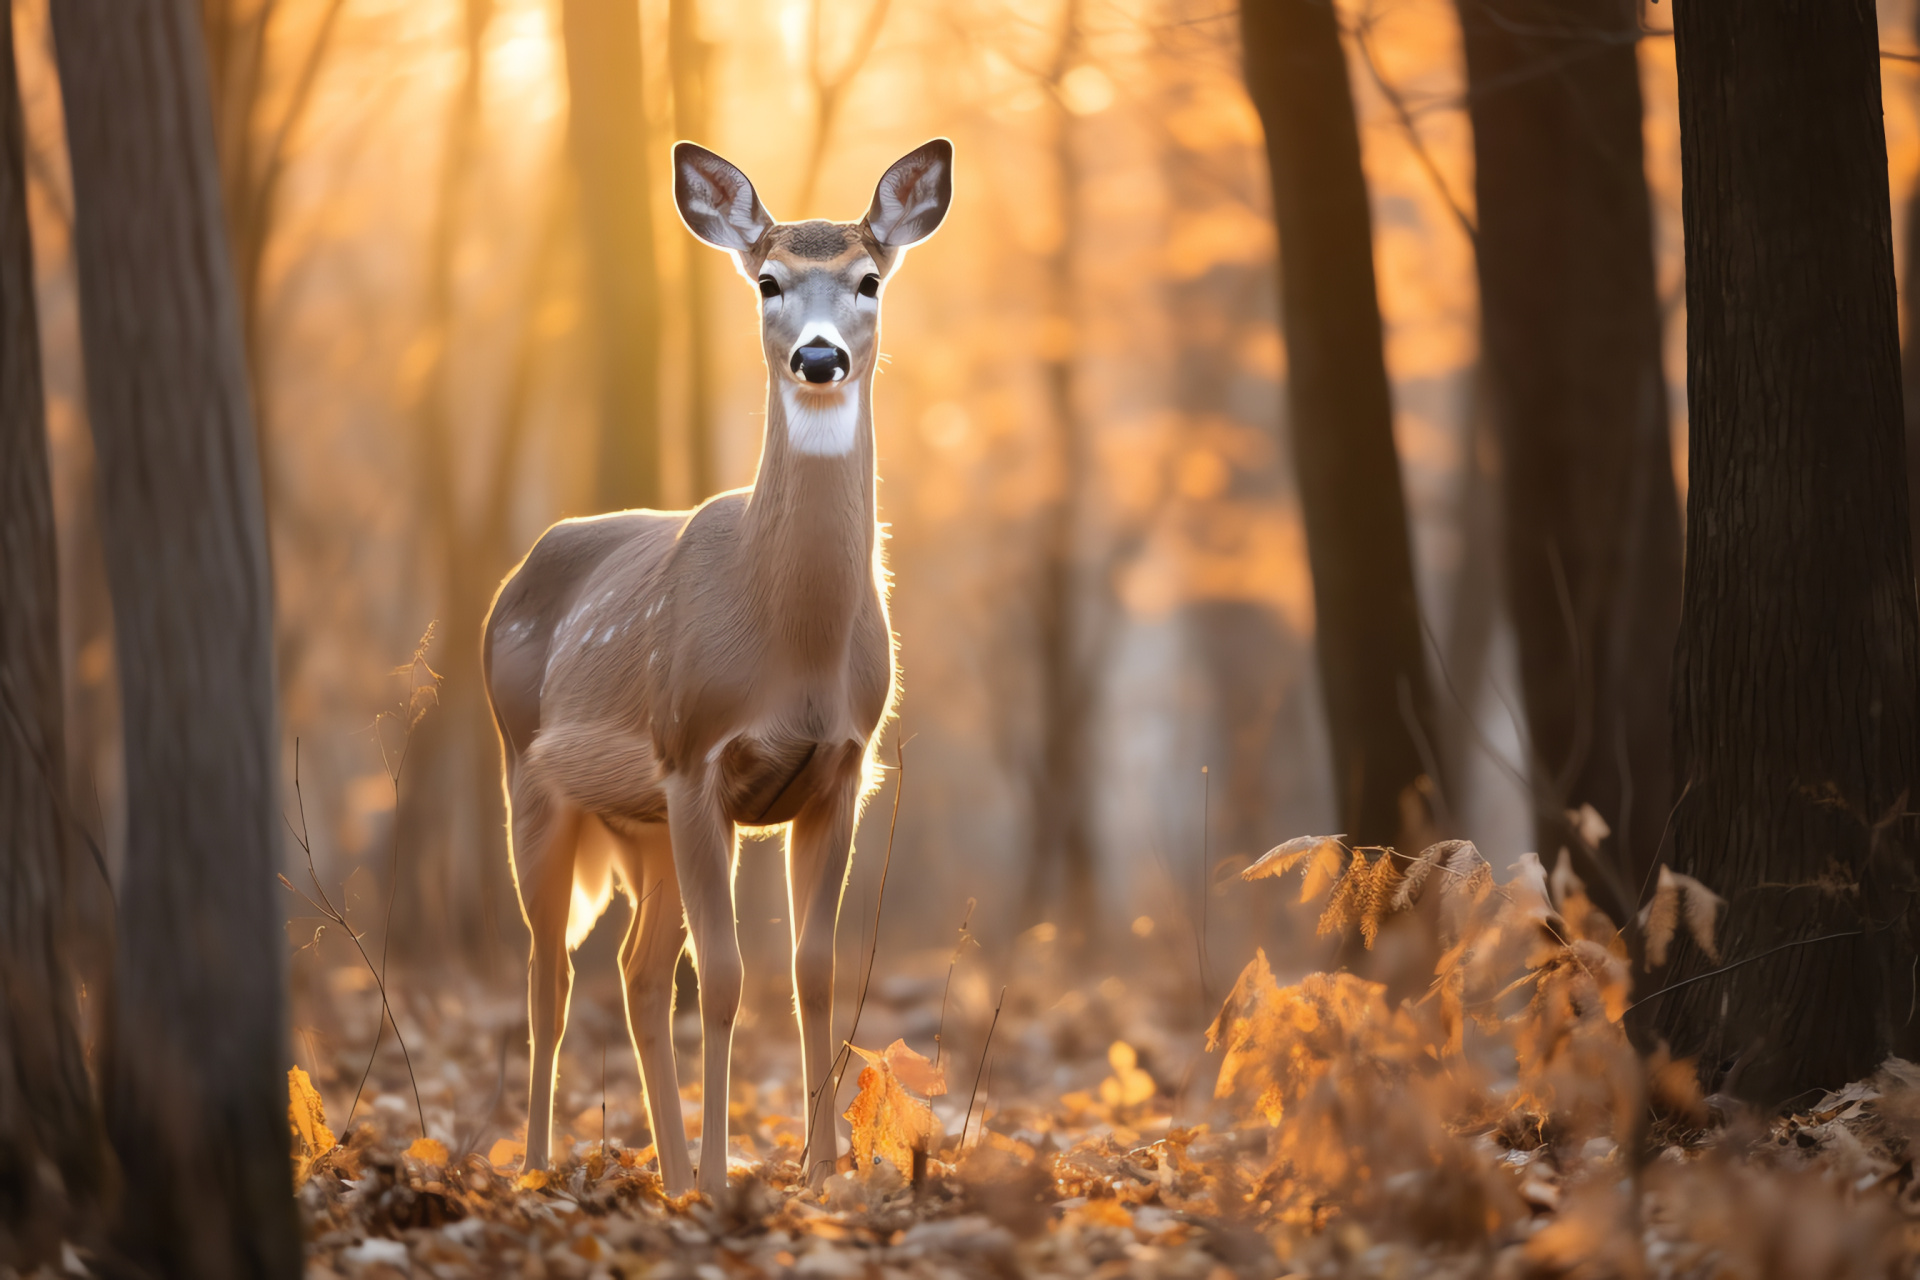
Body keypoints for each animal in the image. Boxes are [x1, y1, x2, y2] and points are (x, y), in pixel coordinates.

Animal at [483, 142, 956, 1205]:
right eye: (769, 281)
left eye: (868, 281)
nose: (818, 357)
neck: (794, 650)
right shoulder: (695, 755)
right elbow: (730, 977)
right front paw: (726, 1170)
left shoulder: (841, 770)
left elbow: (812, 971)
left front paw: (817, 1175)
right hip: (533, 776)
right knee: (548, 975)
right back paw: (540, 1167)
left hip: (642, 823)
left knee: (636, 971)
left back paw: (664, 1175)